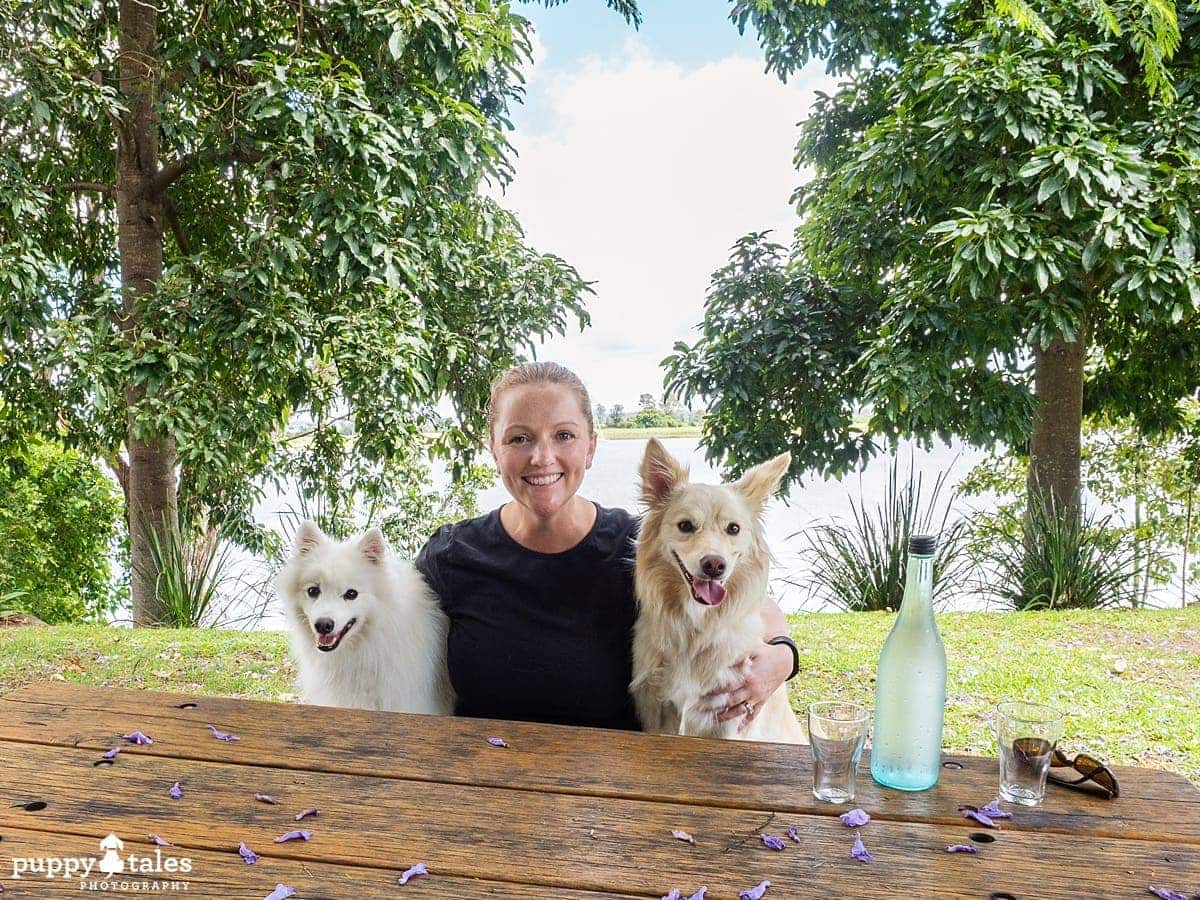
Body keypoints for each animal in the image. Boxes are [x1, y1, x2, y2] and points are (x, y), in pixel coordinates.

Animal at [633, 441, 801, 744]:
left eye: (733, 529)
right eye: (685, 526)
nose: (714, 565)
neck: (697, 626)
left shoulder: (729, 716)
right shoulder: (655, 711)